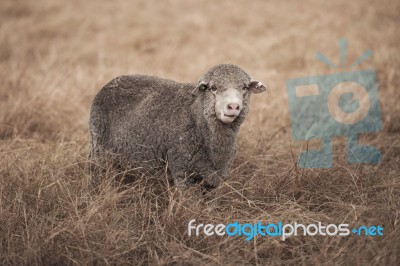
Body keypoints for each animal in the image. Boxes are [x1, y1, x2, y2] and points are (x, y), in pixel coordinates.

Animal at [89, 64, 268, 189]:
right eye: (212, 88)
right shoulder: (183, 173)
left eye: (244, 87)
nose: (233, 106)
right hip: (97, 148)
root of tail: (112, 82)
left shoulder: (213, 179)